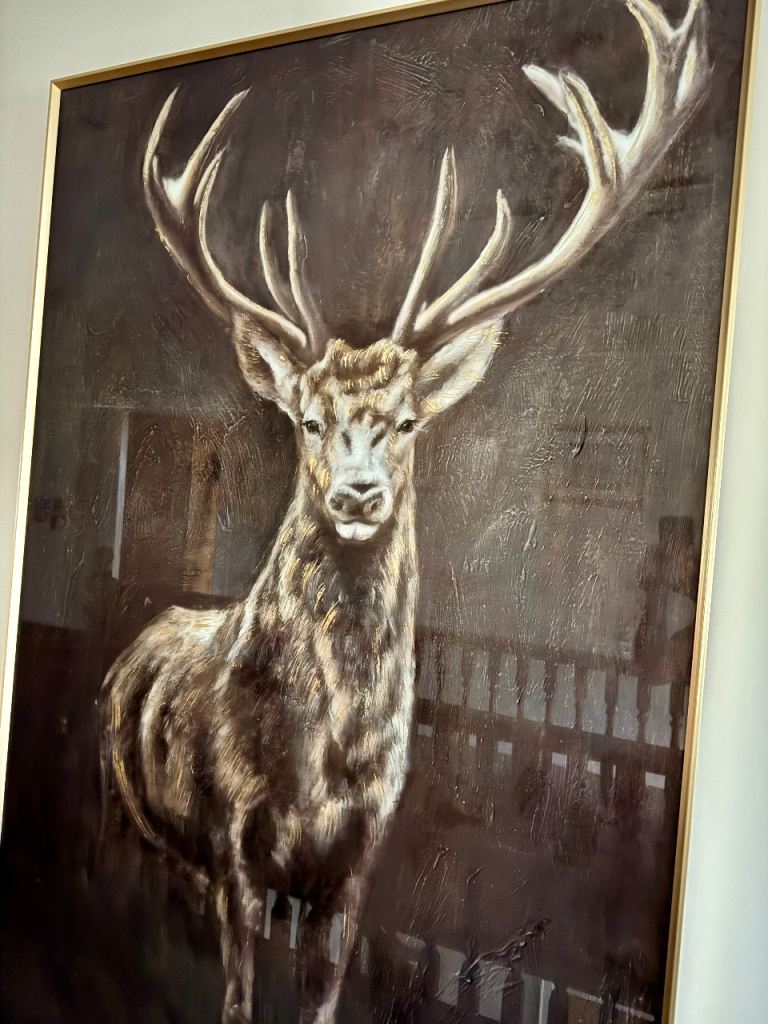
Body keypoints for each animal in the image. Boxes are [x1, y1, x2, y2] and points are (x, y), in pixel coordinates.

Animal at [101, 2, 709, 1021]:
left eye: (409, 420)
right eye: (308, 419)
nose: (357, 493)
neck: (323, 766)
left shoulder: (355, 870)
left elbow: (325, 998)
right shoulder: (233, 850)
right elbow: (236, 999)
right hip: (142, 825)